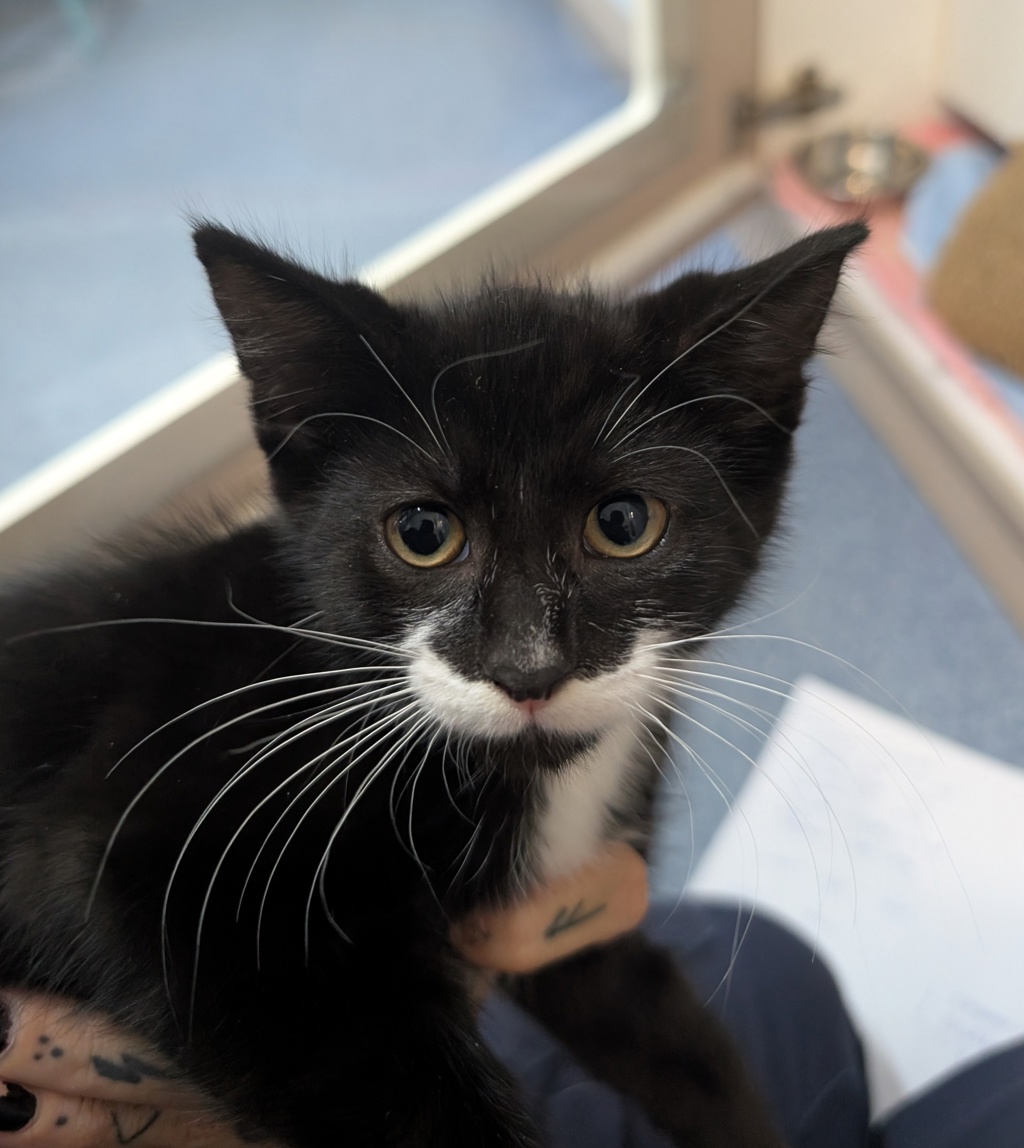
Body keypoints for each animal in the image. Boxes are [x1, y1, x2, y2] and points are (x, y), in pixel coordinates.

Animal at [0, 218, 866, 1147]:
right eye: (422, 533)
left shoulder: (562, 920)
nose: (529, 666)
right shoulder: (158, 841)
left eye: (625, 523)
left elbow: (673, 1041)